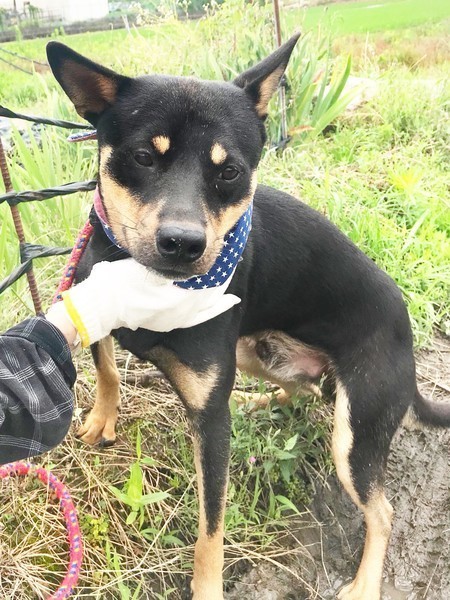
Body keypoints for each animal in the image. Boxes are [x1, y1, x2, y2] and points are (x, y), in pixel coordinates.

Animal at [46, 36, 450, 600]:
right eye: (144, 157)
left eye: (229, 172)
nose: (183, 243)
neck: (153, 285)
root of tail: (406, 340)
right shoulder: (91, 293)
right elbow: (105, 364)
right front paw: (104, 417)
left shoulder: (212, 426)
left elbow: (210, 528)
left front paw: (207, 588)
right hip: (254, 351)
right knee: (299, 389)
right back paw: (258, 401)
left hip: (356, 434)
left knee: (383, 511)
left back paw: (365, 583)